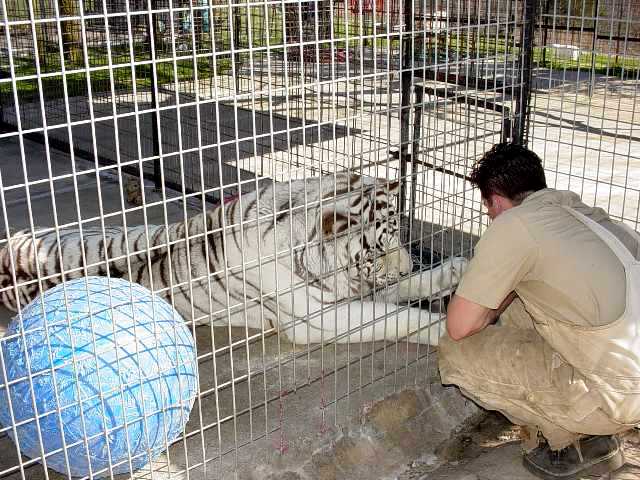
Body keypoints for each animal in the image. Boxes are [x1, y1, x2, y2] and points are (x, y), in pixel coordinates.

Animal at [1, 172, 470, 344]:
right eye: (378, 250)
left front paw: (454, 271)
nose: (406, 263)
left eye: (401, 239)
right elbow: (396, 317)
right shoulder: (319, 318)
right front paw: (443, 332)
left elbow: (407, 290)